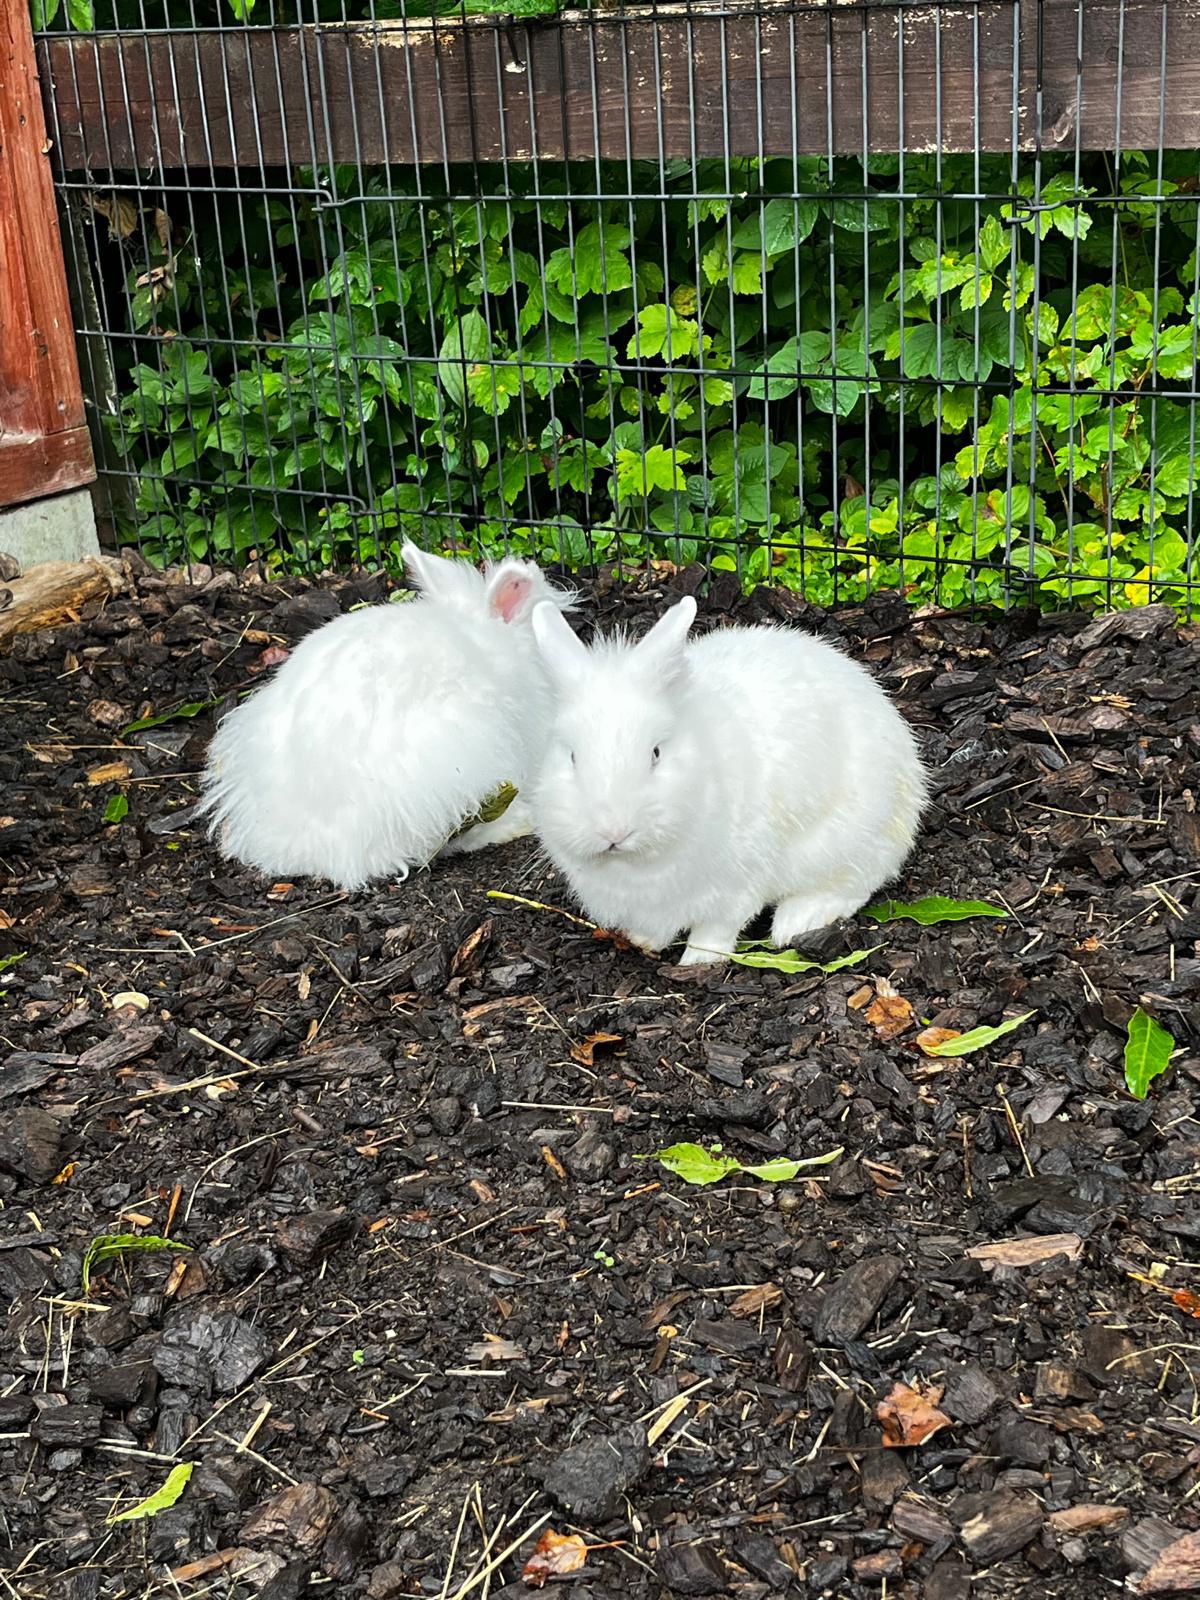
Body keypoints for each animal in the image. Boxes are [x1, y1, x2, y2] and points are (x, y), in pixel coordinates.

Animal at [528, 594, 928, 965]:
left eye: (656, 753)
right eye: (572, 756)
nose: (613, 831)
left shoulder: (735, 886)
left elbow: (716, 929)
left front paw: (699, 961)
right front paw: (645, 942)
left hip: (848, 841)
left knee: (856, 884)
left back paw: (796, 921)